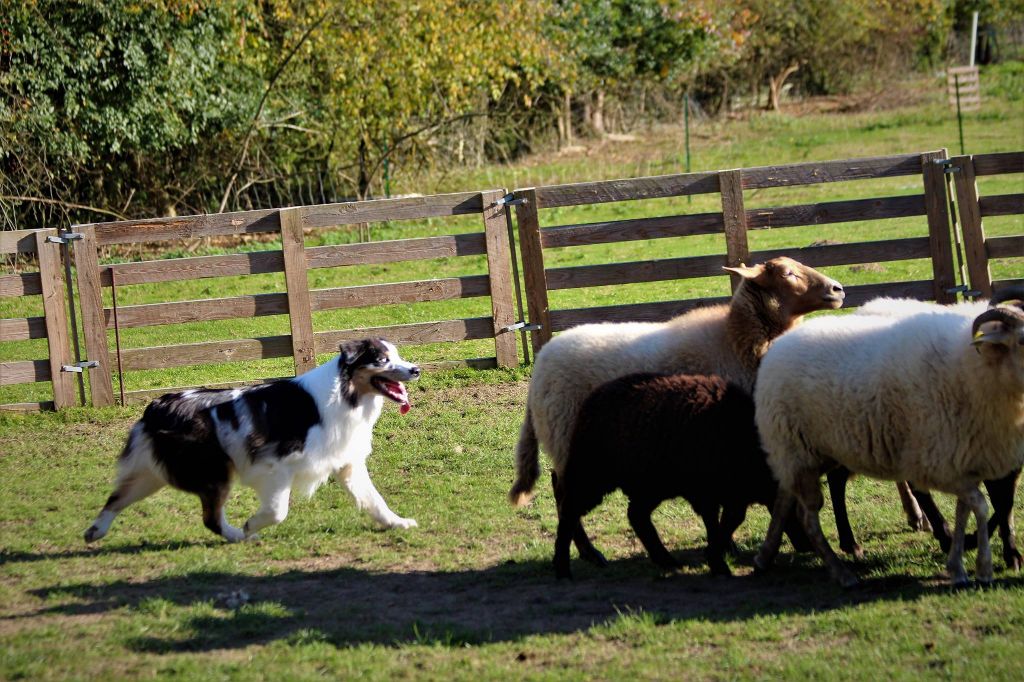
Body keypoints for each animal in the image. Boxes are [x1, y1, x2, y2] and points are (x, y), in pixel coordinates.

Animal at [86, 337, 421, 540]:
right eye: (382, 359)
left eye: (398, 356)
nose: (416, 369)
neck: (345, 392)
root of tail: (157, 405)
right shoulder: (276, 465)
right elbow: (278, 510)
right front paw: (251, 524)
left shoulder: (346, 462)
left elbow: (374, 500)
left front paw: (398, 522)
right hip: (214, 472)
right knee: (210, 517)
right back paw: (238, 535)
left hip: (154, 473)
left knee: (116, 498)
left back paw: (95, 531)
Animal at [552, 368, 806, 577]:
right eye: (796, 508)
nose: (805, 545)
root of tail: (593, 398)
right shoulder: (709, 491)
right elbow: (719, 522)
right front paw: (717, 562)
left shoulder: (730, 492)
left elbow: (729, 520)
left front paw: (716, 557)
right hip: (591, 473)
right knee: (569, 510)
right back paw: (563, 567)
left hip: (651, 484)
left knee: (636, 515)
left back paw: (665, 559)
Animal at [753, 290, 1024, 585]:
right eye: (1022, 340)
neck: (973, 366)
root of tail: (778, 346)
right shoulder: (938, 465)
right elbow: (982, 506)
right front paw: (983, 567)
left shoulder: (965, 462)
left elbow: (967, 509)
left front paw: (959, 565)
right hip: (797, 452)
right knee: (808, 516)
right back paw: (841, 570)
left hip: (806, 452)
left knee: (787, 494)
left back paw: (766, 556)